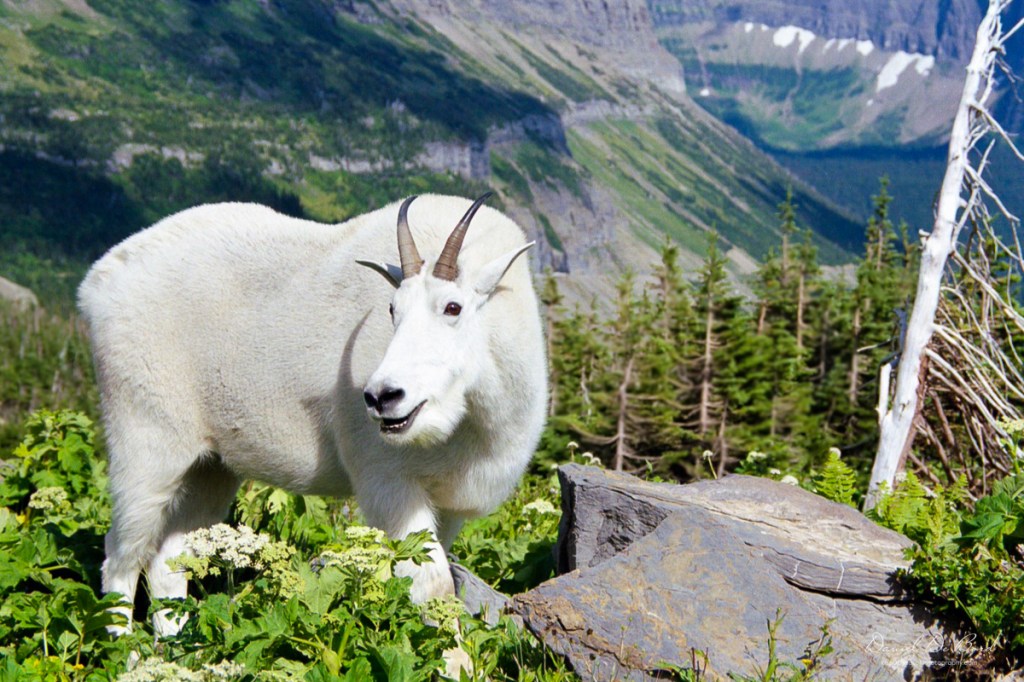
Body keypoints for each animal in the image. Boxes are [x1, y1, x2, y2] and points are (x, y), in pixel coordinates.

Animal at [77, 193, 547, 634]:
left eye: (453, 307)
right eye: (392, 310)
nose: (382, 396)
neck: (472, 415)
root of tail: (96, 284)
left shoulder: (448, 504)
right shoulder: (389, 481)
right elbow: (433, 585)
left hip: (209, 468)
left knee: (170, 558)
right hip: (146, 440)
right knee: (121, 555)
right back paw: (126, 652)